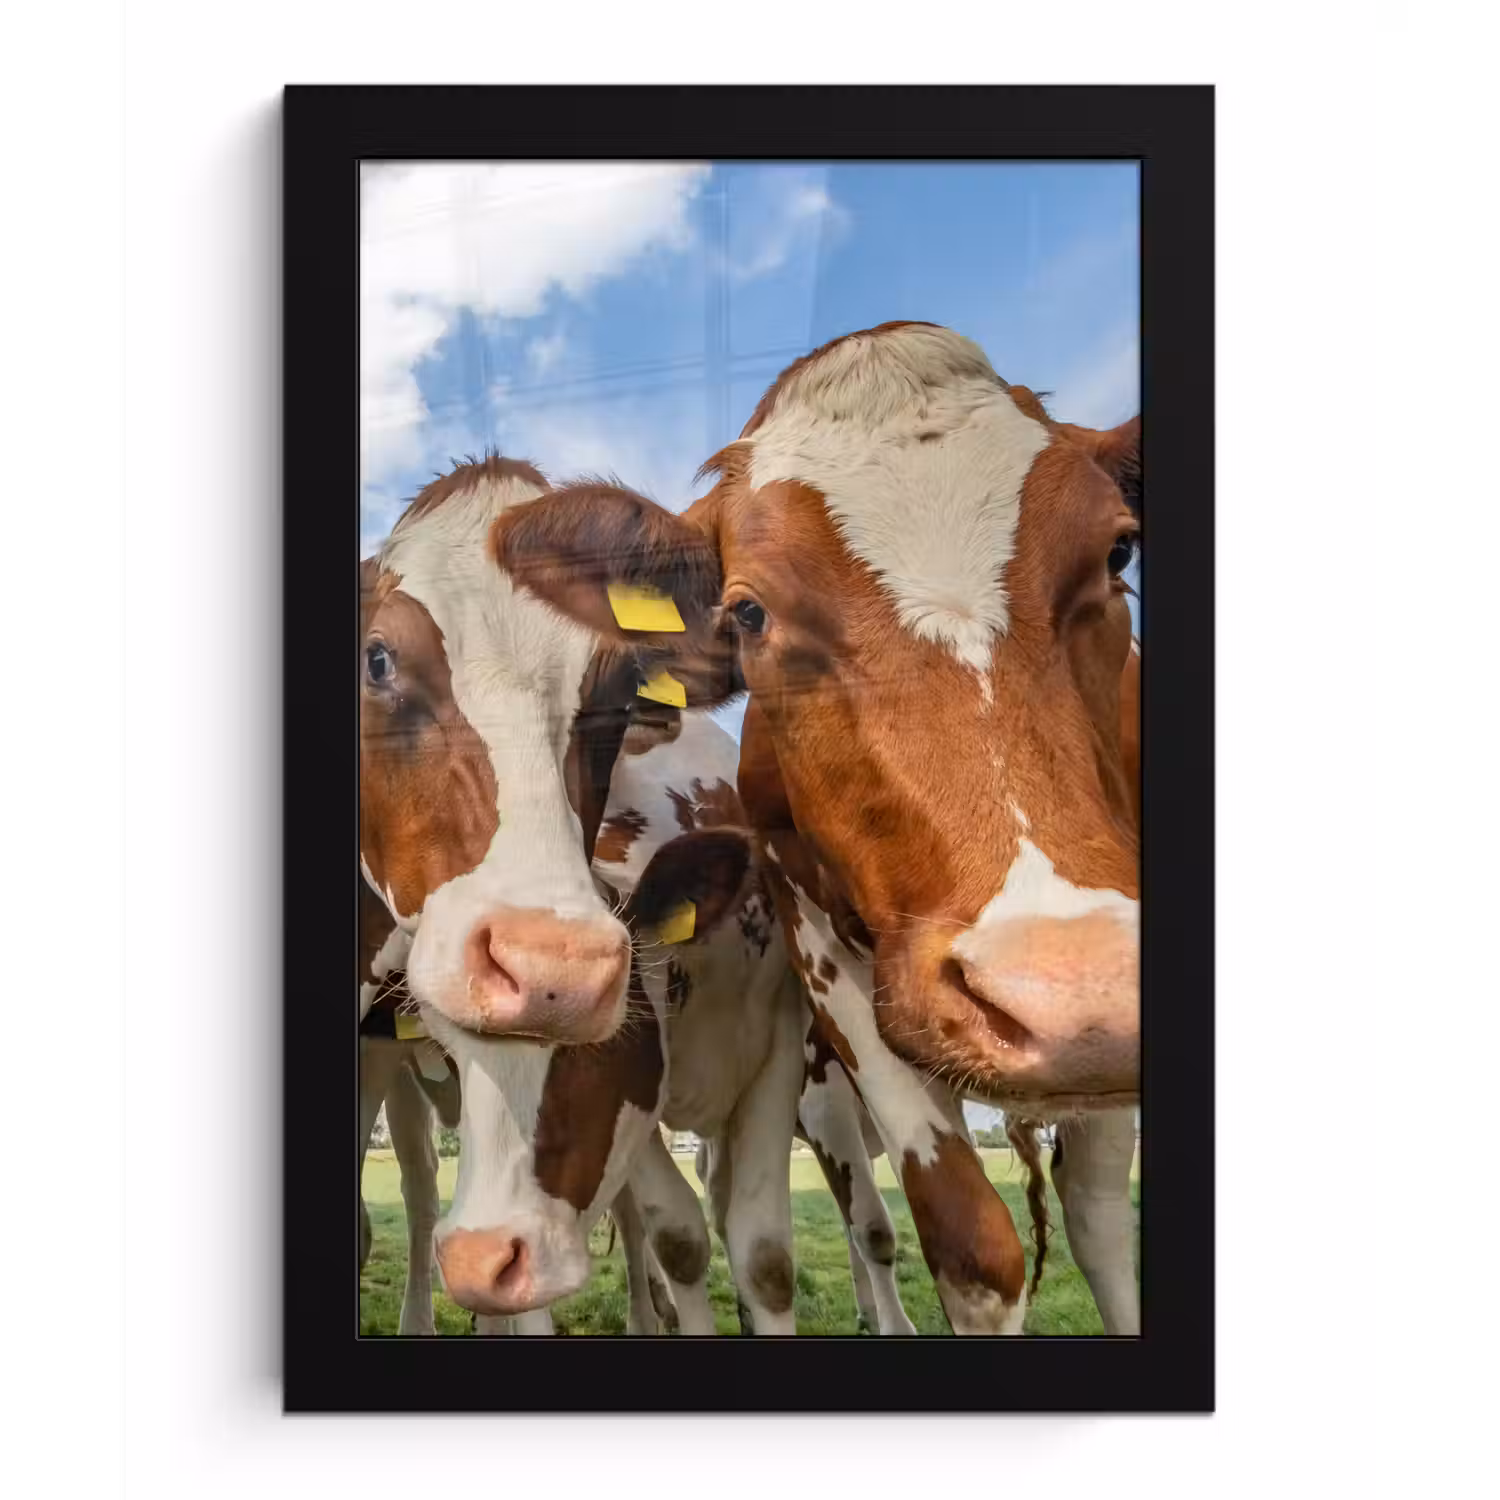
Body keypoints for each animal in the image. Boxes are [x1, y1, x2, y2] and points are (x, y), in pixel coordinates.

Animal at [488, 322, 1144, 1335]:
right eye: (749, 610)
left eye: (1118, 553)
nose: (1061, 989)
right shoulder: (828, 962)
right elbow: (967, 1245)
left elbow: (1097, 1225)